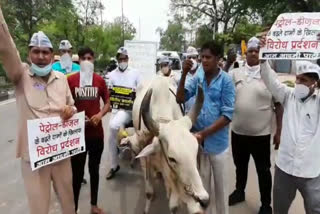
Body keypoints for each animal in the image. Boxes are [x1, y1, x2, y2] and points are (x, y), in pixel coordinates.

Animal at [121, 76, 209, 213]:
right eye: (172, 158)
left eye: (195, 154)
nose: (203, 200)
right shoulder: (144, 158)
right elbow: (149, 193)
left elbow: (174, 205)